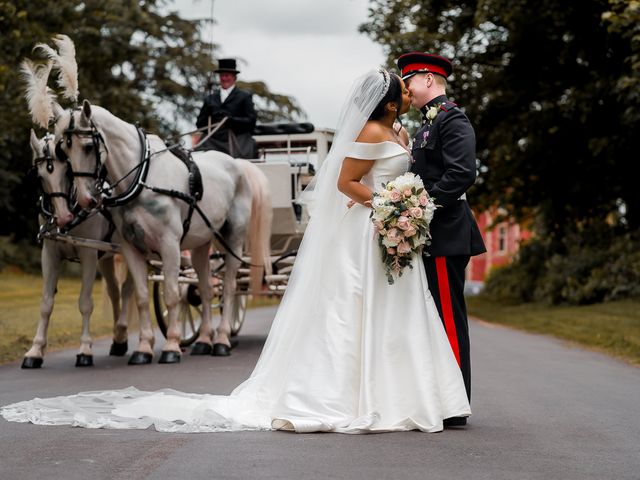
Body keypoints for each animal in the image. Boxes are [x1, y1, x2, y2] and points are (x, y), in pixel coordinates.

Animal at [24, 128, 134, 368]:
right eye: (40, 176)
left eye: (67, 171)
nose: (64, 217)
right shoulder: (50, 253)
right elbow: (46, 303)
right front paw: (36, 350)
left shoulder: (89, 254)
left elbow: (85, 302)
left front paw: (85, 349)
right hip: (107, 257)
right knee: (115, 292)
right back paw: (118, 340)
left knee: (130, 289)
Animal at [55, 100, 272, 364]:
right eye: (64, 150)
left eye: (87, 147)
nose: (86, 200)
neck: (143, 179)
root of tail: (238, 163)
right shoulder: (131, 248)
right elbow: (141, 297)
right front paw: (143, 348)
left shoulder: (170, 245)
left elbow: (171, 294)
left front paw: (171, 346)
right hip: (202, 244)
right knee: (207, 289)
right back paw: (203, 341)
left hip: (234, 240)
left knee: (230, 288)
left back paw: (221, 340)